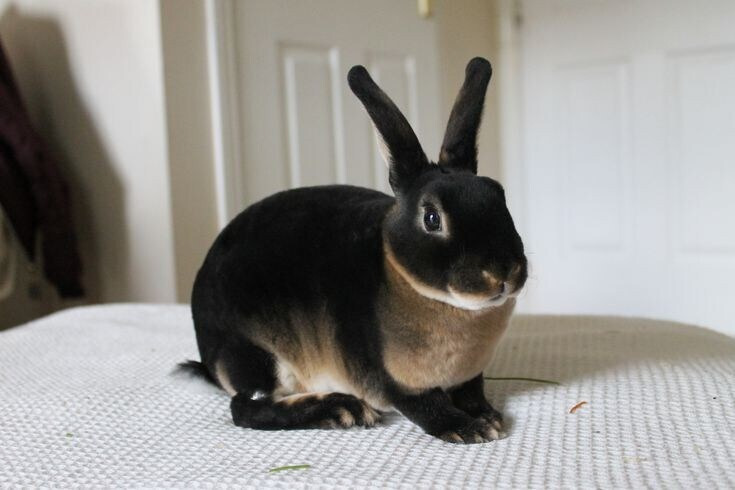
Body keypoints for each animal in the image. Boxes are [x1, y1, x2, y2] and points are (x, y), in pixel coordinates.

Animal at [181, 57, 527, 444]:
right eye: (432, 217)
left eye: (498, 194)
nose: (503, 273)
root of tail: (209, 359)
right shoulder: (392, 381)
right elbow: (425, 407)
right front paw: (470, 429)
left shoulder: (469, 377)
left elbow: (472, 393)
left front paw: (488, 416)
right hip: (255, 355)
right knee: (245, 406)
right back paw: (341, 409)